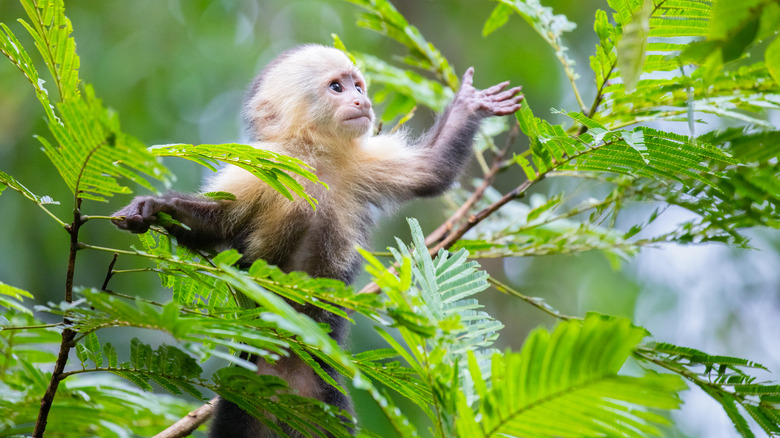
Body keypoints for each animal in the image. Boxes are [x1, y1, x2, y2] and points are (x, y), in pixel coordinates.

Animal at [111, 43, 524, 434]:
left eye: (358, 86)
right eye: (337, 87)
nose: (362, 101)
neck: (316, 157)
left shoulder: (360, 163)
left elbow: (431, 171)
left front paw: (470, 104)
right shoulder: (264, 167)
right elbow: (217, 228)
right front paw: (154, 208)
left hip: (323, 395)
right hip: (246, 389)